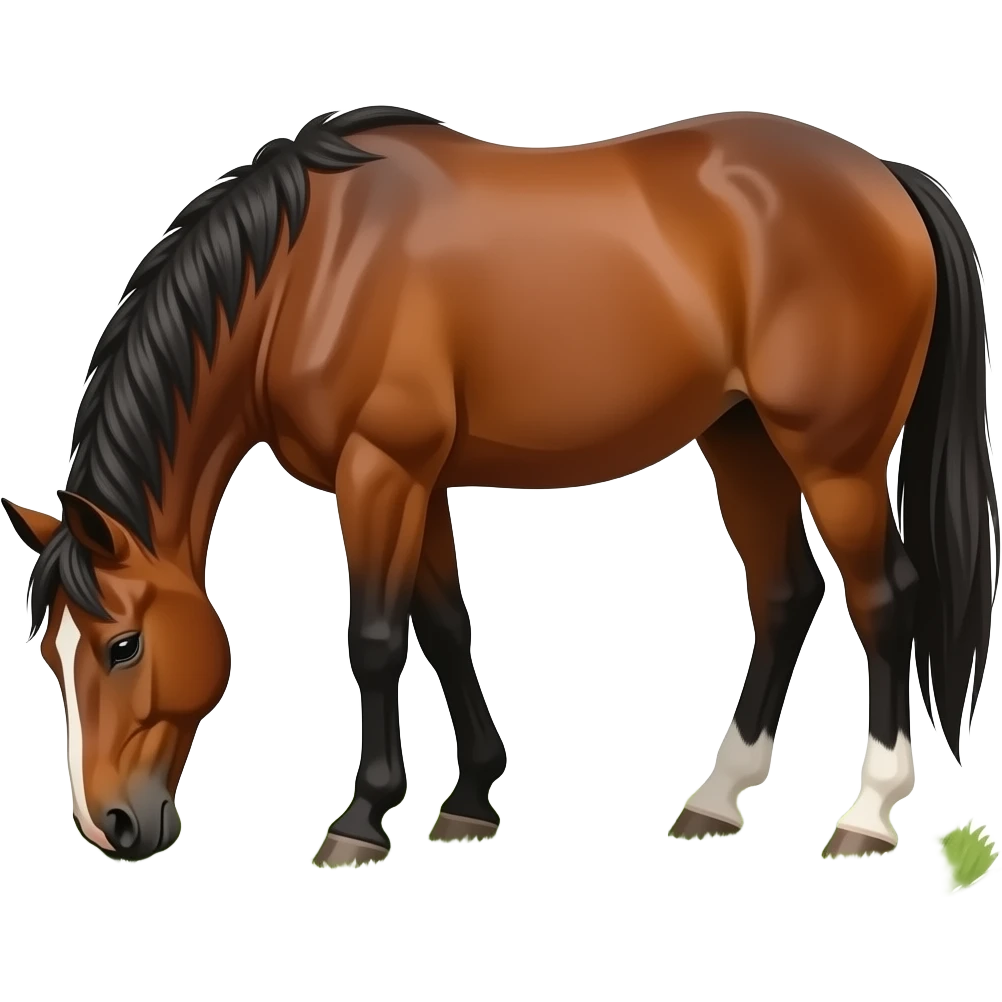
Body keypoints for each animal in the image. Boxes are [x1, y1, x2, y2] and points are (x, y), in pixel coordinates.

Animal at [2, 107, 996, 869]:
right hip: (742, 438)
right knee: (787, 592)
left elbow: (375, 637)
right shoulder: (417, 478)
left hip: (835, 458)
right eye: (49, 654)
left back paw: (867, 817)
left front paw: (361, 821)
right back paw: (716, 799)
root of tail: (883, 177)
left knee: (883, 598)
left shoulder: (379, 469)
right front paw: (471, 801)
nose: (111, 826)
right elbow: (443, 624)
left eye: (123, 645)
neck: (307, 270)